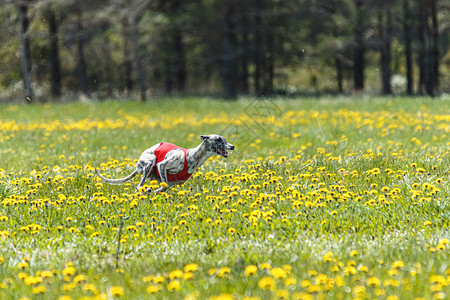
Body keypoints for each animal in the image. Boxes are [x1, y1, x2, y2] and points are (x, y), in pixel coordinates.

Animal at [95, 134, 236, 195]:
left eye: (225, 139)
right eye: (219, 139)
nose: (233, 146)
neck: (192, 156)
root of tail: (138, 164)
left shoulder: (173, 181)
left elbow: (165, 187)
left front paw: (152, 191)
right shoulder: (162, 166)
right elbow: (163, 185)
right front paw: (150, 191)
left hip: (154, 174)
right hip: (150, 162)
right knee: (139, 186)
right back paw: (144, 190)